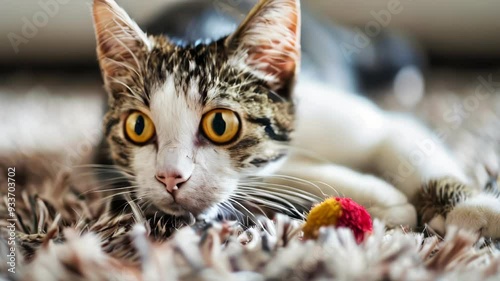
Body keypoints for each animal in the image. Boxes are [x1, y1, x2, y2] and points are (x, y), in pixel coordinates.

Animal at [92, 0, 498, 236]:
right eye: (139, 127)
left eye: (220, 125)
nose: (170, 178)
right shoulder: (105, 161)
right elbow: (278, 173)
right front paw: (381, 196)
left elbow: (402, 135)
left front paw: (471, 207)